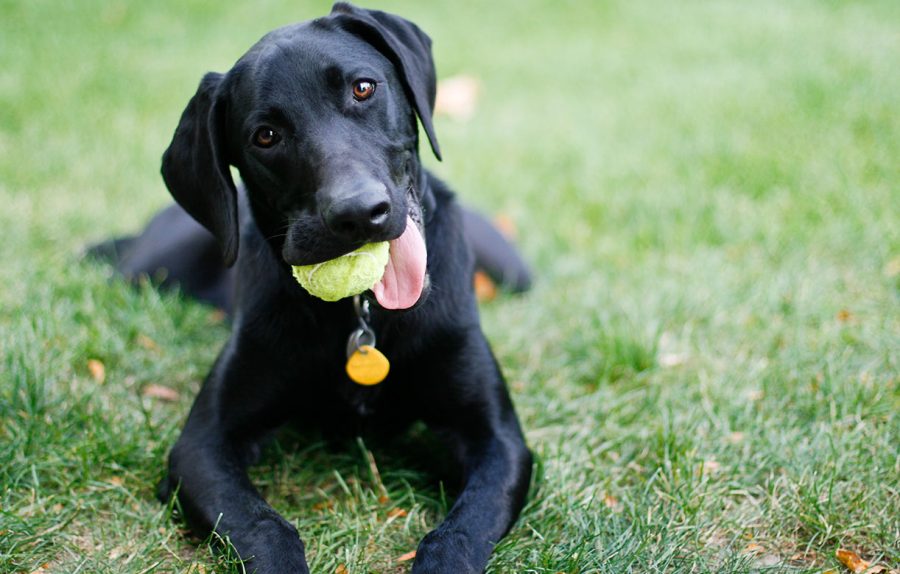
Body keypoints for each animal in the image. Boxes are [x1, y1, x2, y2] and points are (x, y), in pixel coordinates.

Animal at [99, 2, 536, 572]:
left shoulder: (497, 439)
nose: (359, 214)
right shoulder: (202, 445)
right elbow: (263, 525)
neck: (362, 312)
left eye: (363, 88)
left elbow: (460, 532)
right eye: (265, 136)